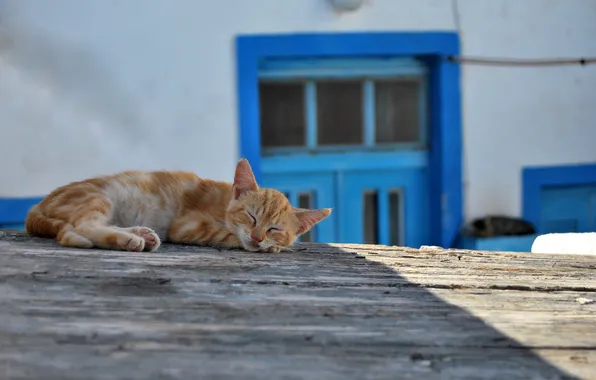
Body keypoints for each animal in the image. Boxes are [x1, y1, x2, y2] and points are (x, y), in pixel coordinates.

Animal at [25, 159, 332, 254]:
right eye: (251, 217)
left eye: (274, 228)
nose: (258, 238)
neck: (224, 204)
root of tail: (39, 205)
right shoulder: (187, 225)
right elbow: (226, 234)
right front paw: (266, 247)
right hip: (98, 197)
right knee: (74, 231)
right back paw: (128, 240)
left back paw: (142, 234)